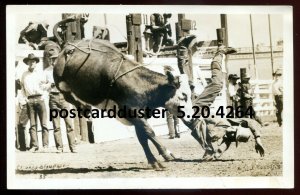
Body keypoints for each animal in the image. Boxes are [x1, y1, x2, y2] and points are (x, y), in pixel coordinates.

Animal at [48, 18, 195, 168]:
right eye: (183, 96)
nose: (192, 118)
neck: (141, 83)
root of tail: (66, 45)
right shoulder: (134, 112)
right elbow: (149, 132)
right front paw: (166, 154)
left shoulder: (137, 116)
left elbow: (143, 137)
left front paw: (153, 161)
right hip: (59, 79)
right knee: (67, 94)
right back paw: (83, 107)